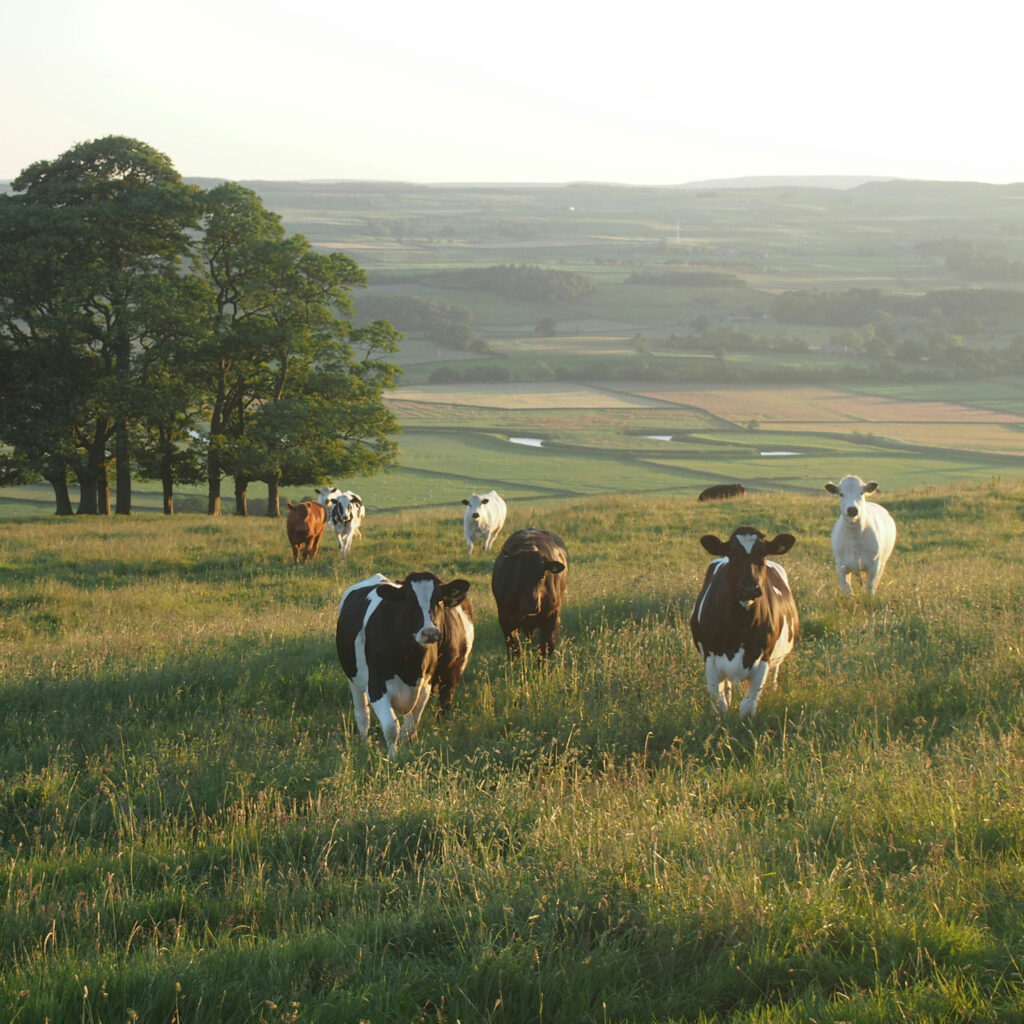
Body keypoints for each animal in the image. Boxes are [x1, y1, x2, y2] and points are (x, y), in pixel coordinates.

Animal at [336, 572, 473, 758]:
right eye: (409, 601)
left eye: (439, 600)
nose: (430, 633)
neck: (411, 664)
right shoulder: (376, 686)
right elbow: (391, 727)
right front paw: (391, 758)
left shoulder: (425, 687)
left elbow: (409, 729)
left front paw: (406, 754)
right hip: (354, 680)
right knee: (363, 717)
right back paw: (364, 745)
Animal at [491, 528, 568, 659]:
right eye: (517, 577)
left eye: (541, 576)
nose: (531, 607)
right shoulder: (506, 620)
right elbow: (515, 649)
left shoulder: (553, 617)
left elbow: (545, 648)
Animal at [690, 526, 799, 720]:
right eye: (733, 554)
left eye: (763, 554)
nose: (749, 589)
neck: (740, 626)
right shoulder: (711, 660)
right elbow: (720, 705)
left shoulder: (763, 660)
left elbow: (747, 708)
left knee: (774, 675)